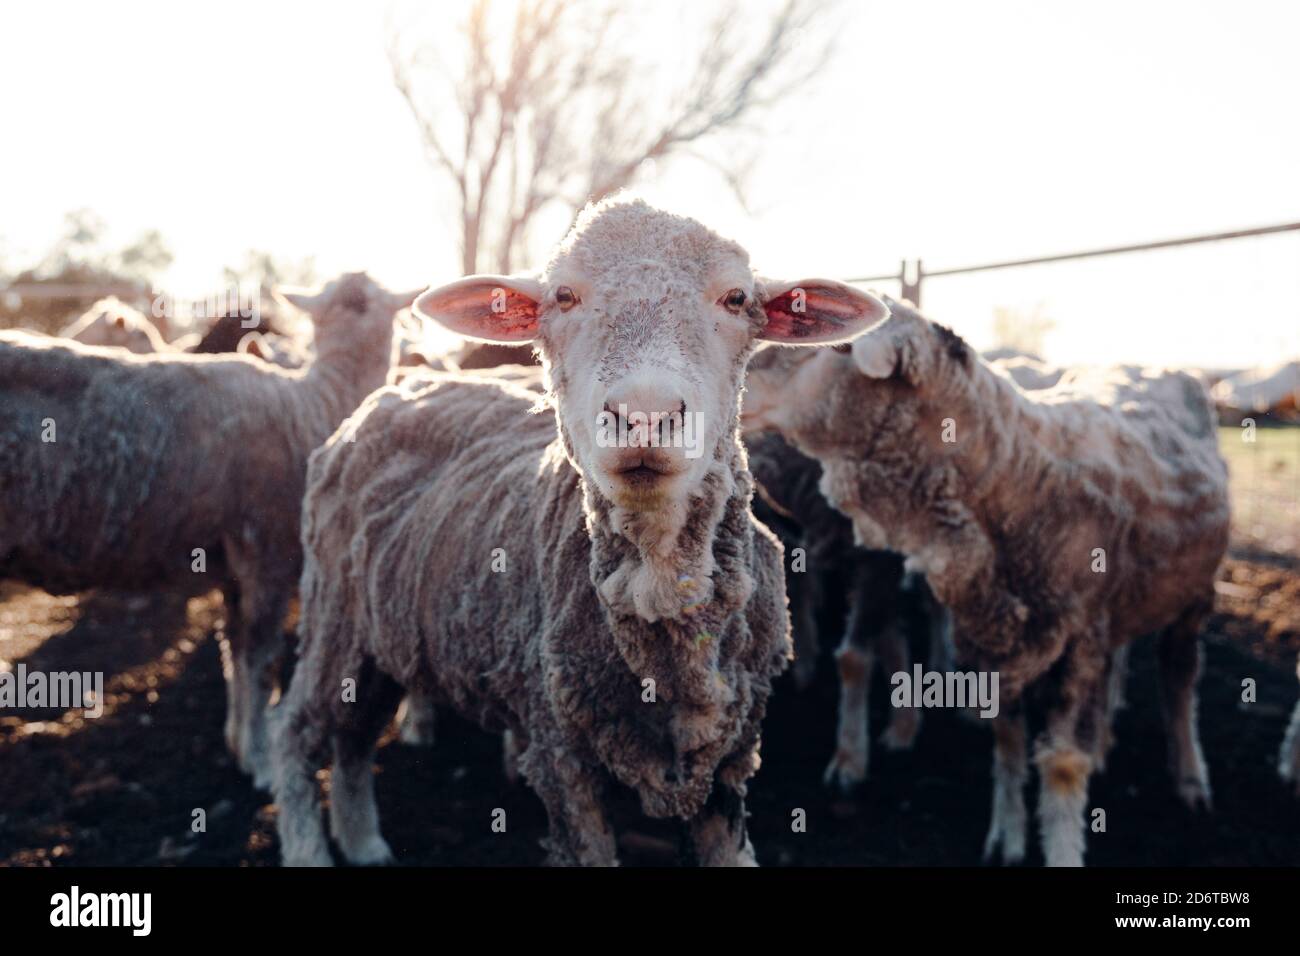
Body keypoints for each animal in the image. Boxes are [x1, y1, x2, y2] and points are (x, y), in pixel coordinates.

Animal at [0, 273, 418, 787]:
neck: (316, 402)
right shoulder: (268, 553)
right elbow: (260, 660)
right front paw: (261, 761)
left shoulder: (234, 568)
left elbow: (233, 652)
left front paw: (239, 743)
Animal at [270, 197, 890, 866]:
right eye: (563, 296)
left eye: (736, 298)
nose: (644, 415)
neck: (656, 578)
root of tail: (396, 390)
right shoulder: (559, 754)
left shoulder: (731, 759)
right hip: (334, 617)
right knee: (297, 734)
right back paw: (310, 846)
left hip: (384, 631)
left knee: (355, 737)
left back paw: (363, 842)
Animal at [742, 296, 1230, 866]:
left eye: (839, 346)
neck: (1019, 474)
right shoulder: (1003, 636)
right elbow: (1008, 739)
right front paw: (1008, 836)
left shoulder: (1081, 638)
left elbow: (1063, 765)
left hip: (1195, 595)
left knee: (1180, 677)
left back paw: (1191, 777)